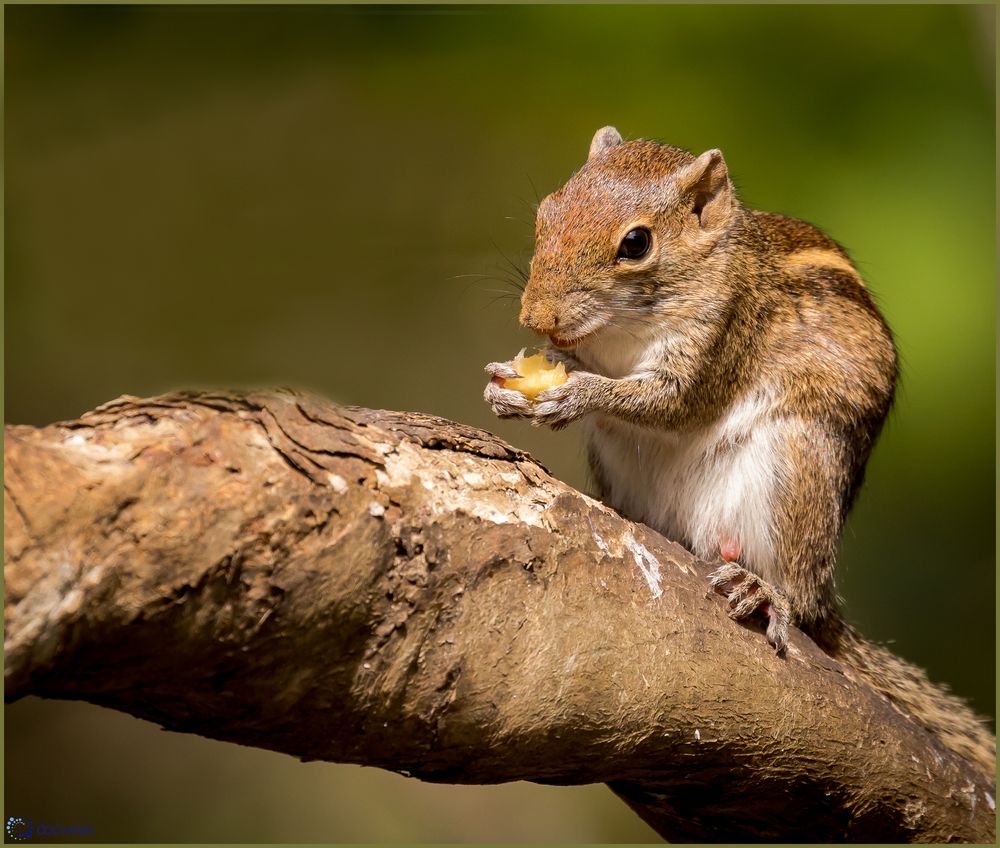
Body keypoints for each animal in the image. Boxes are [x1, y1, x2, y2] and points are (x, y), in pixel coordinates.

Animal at [482, 124, 992, 776]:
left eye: (636, 244)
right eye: (547, 211)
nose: (536, 317)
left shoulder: (722, 337)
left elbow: (670, 405)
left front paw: (575, 394)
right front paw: (510, 384)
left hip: (798, 469)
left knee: (795, 591)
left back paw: (767, 591)